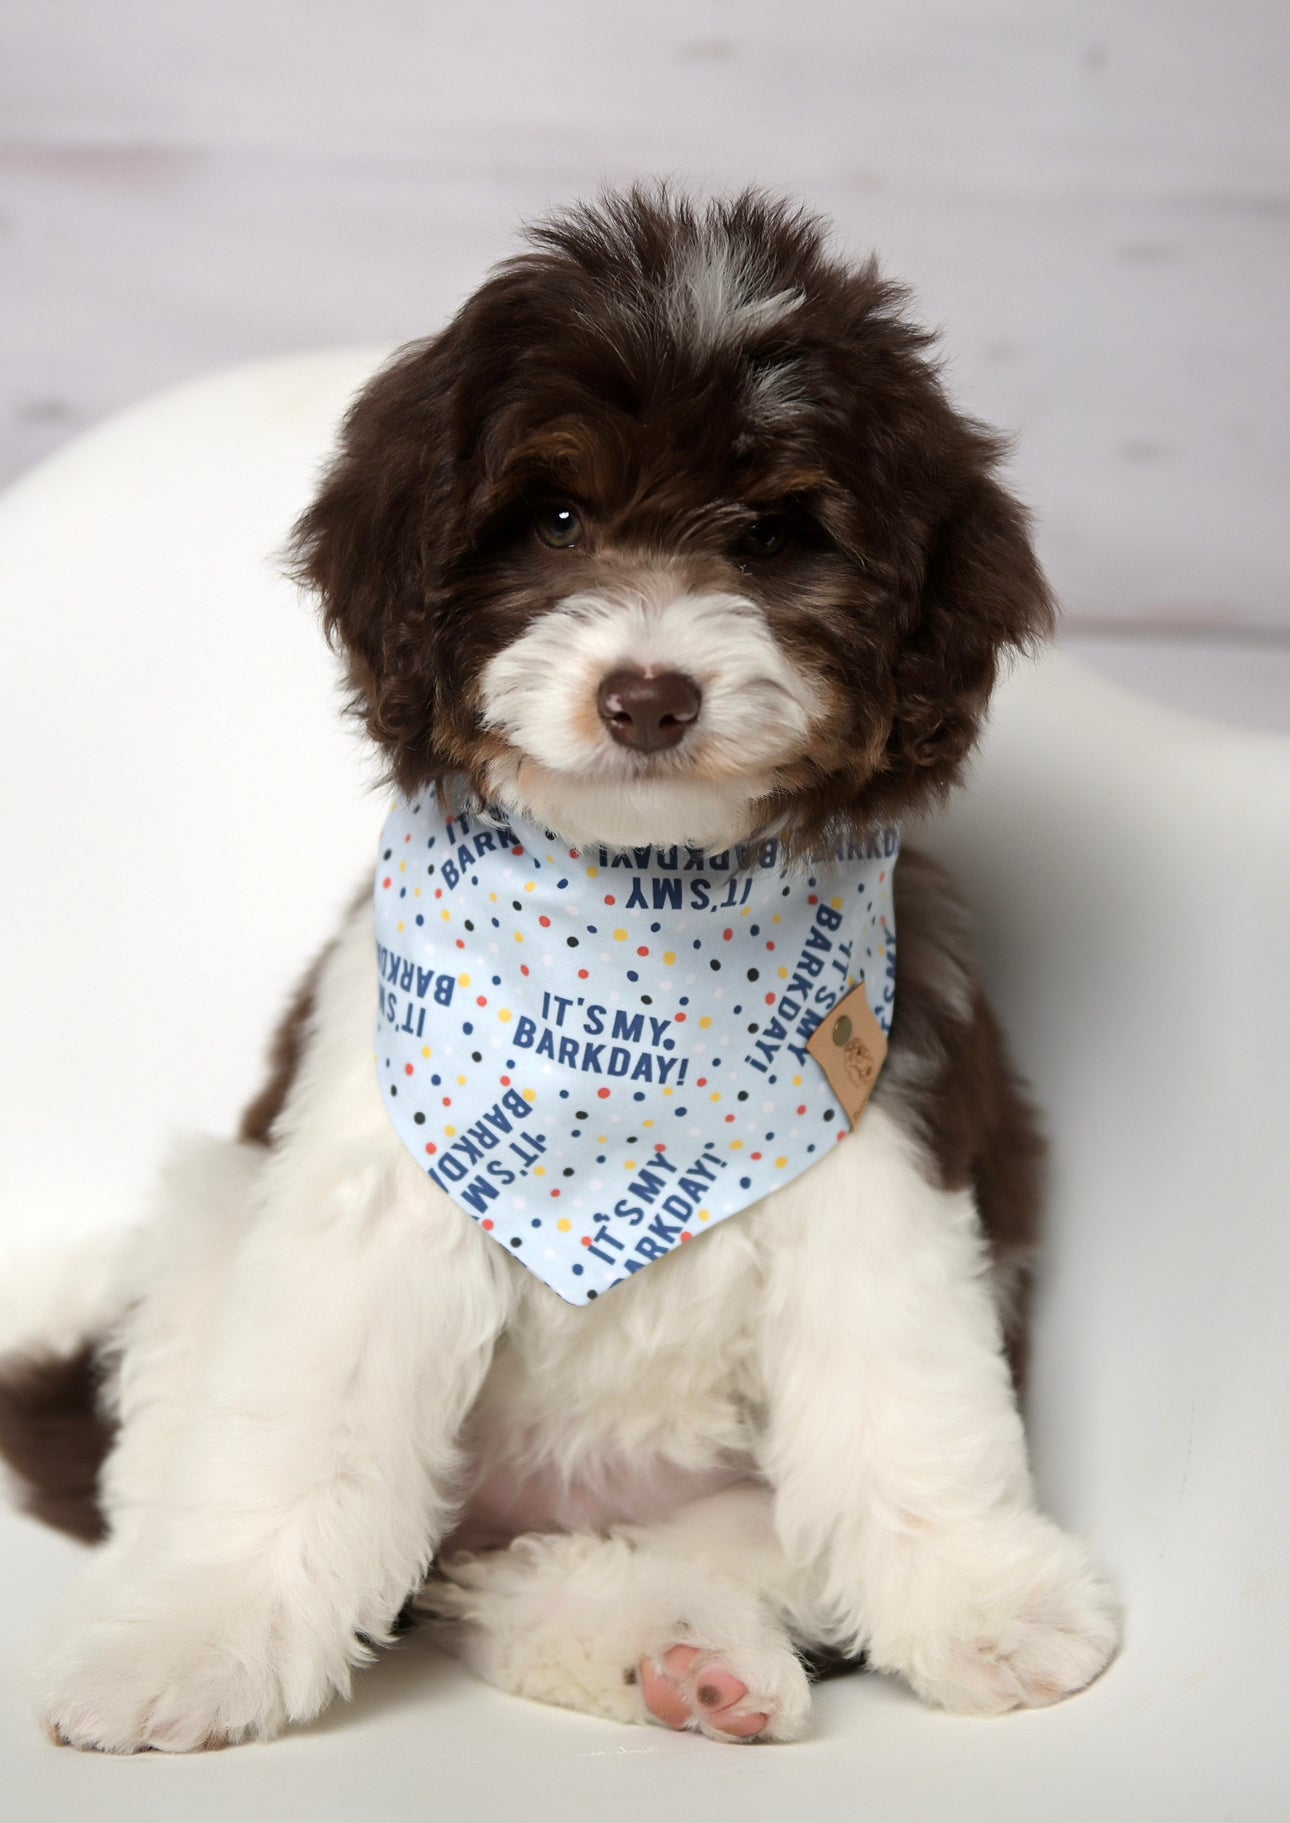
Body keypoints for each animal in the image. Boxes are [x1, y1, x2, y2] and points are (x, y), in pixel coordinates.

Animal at [0, 188, 1115, 1750]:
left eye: (773, 537)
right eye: (560, 516)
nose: (649, 696)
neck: (640, 902)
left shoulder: (881, 1143)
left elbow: (905, 1391)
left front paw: (985, 1602)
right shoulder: (371, 1175)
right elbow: (304, 1424)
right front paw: (192, 1640)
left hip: (707, 1515)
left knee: (548, 1576)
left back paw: (684, 1651)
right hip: (213, 1214)